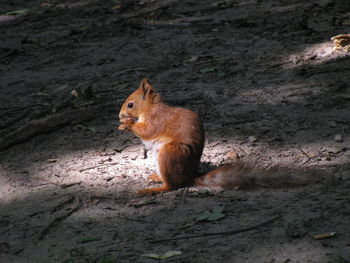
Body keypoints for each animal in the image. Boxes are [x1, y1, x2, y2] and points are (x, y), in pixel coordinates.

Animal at [119, 78, 320, 194]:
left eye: (130, 104)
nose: (119, 115)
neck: (150, 109)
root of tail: (189, 177)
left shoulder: (158, 120)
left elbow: (146, 131)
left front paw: (127, 124)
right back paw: (156, 178)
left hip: (170, 152)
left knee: (173, 186)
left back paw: (154, 189)